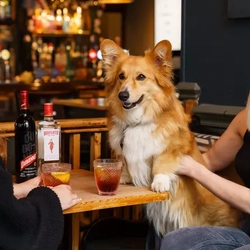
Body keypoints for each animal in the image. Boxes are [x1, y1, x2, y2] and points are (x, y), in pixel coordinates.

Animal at [100, 38, 241, 236]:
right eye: (121, 76)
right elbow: (124, 160)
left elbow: (161, 162)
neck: (137, 122)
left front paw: (159, 182)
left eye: (141, 77)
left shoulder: (174, 145)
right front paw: (123, 177)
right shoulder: (120, 148)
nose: (123, 95)